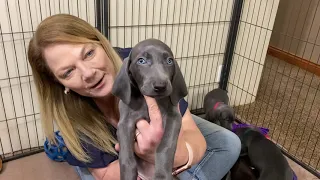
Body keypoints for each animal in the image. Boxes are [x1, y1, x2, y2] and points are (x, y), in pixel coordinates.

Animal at [112, 38, 189, 180]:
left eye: (169, 61)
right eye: (141, 61)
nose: (160, 86)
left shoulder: (174, 117)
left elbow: (165, 147)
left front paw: (162, 175)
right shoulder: (125, 123)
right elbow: (126, 157)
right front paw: (127, 174)